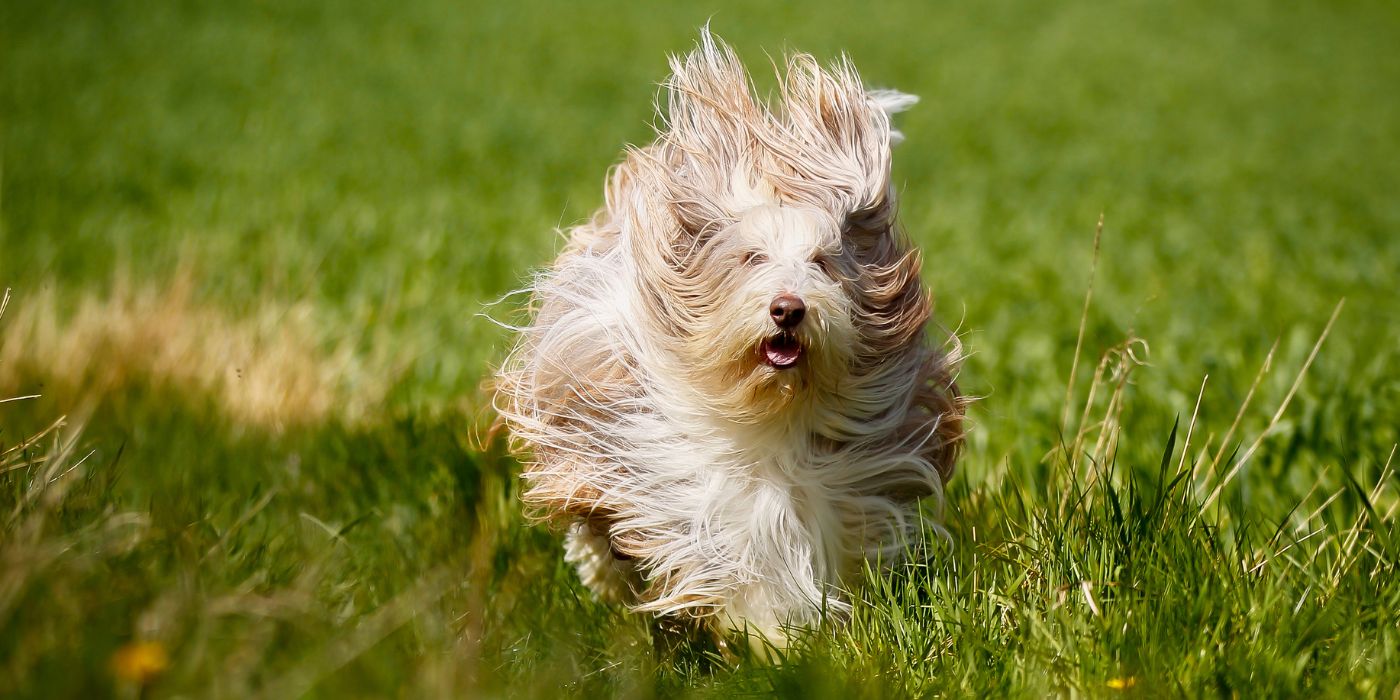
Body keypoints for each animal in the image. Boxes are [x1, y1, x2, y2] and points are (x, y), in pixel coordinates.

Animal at [492, 31, 963, 644]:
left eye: (823, 262)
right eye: (751, 257)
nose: (788, 309)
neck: (763, 409)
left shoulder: (842, 478)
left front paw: (787, 632)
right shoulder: (655, 452)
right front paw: (763, 630)